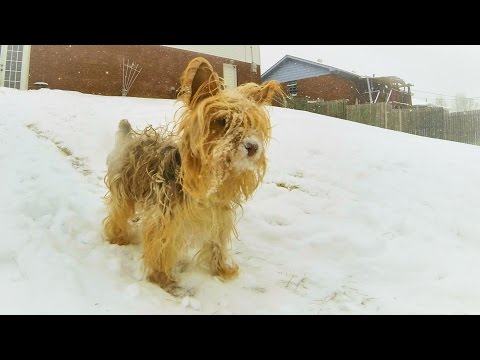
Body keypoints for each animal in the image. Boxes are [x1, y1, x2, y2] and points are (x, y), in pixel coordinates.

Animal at [101, 57, 282, 292]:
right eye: (222, 121)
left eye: (252, 124)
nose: (252, 147)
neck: (209, 180)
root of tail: (130, 136)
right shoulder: (166, 217)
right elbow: (161, 246)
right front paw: (161, 278)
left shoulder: (218, 216)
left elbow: (216, 244)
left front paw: (221, 270)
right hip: (125, 189)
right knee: (118, 213)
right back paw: (118, 237)